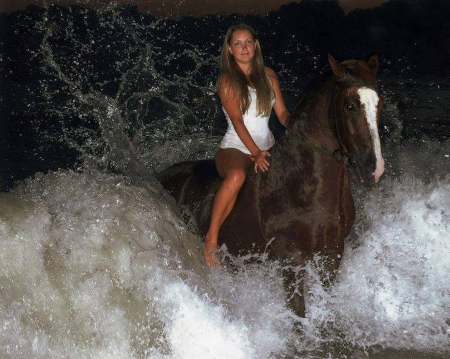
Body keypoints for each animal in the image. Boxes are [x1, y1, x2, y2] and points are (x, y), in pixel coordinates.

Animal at [157, 54, 384, 316]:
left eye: (380, 104)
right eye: (350, 106)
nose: (374, 168)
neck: (302, 183)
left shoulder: (332, 254)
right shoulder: (291, 260)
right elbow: (298, 315)